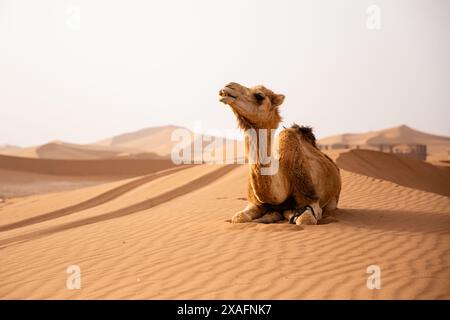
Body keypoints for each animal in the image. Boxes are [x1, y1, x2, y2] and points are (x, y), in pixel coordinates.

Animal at [219, 84, 342, 226]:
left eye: (259, 95)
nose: (227, 87)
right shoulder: (254, 202)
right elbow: (239, 217)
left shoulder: (312, 201)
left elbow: (304, 219)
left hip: (333, 200)